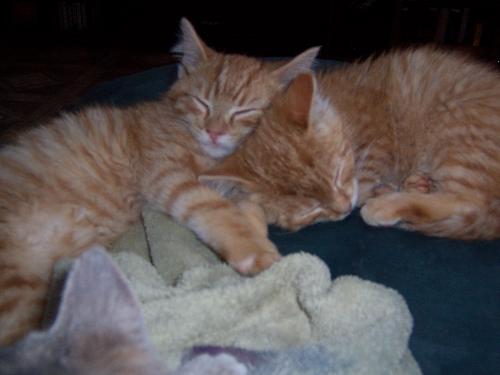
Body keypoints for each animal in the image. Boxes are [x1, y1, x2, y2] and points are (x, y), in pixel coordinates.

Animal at [0, 18, 318, 346]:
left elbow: (250, 203)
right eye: (202, 103)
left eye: (244, 110)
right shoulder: (166, 174)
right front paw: (255, 251)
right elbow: (216, 208)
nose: (214, 132)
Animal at [201, 47, 500, 241]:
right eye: (312, 209)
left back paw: (385, 206)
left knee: (468, 201)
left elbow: (364, 184)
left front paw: (379, 194)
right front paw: (407, 185)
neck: (340, 109)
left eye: (336, 174)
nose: (343, 208)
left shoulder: (379, 139)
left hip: (457, 135)